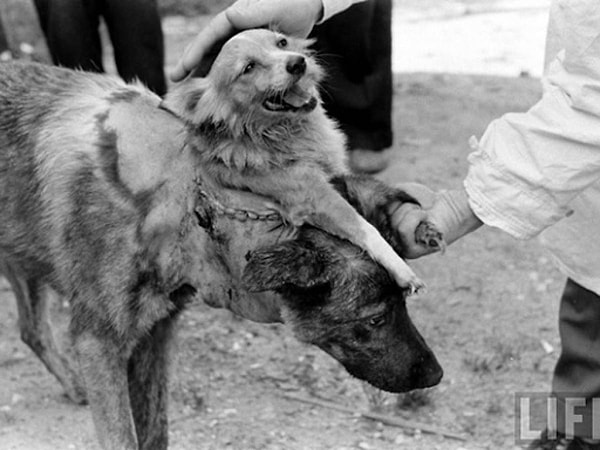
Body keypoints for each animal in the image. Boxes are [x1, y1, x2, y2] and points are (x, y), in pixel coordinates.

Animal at [0, 43, 440, 450]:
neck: (189, 192)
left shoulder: (156, 334)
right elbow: (123, 437)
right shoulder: (99, 344)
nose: (436, 375)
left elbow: (155, 431)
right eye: (374, 319)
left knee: (32, 330)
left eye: (402, 306)